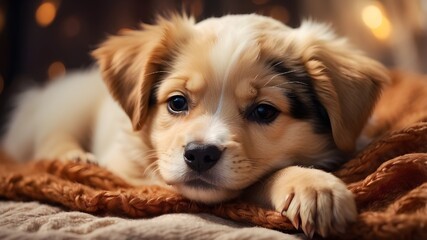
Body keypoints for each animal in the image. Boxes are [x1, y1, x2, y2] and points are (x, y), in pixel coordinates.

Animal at [0, 14, 388, 237]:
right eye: (176, 102)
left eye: (264, 111)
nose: (200, 155)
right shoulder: (137, 171)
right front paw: (313, 186)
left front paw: (311, 183)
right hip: (68, 104)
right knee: (49, 137)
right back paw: (75, 158)